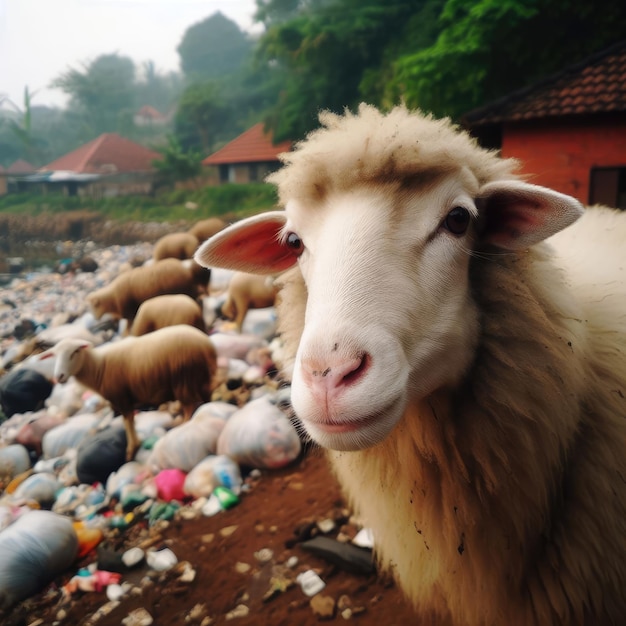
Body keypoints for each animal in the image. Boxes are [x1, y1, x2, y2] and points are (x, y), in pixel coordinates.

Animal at [37, 322, 217, 458]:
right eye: (54, 356)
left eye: (74, 352)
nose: (59, 376)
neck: (98, 367)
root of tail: (206, 344)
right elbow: (129, 422)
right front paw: (134, 445)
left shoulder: (121, 397)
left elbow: (128, 422)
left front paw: (131, 449)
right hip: (200, 377)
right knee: (205, 397)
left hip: (183, 379)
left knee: (189, 406)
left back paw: (183, 423)